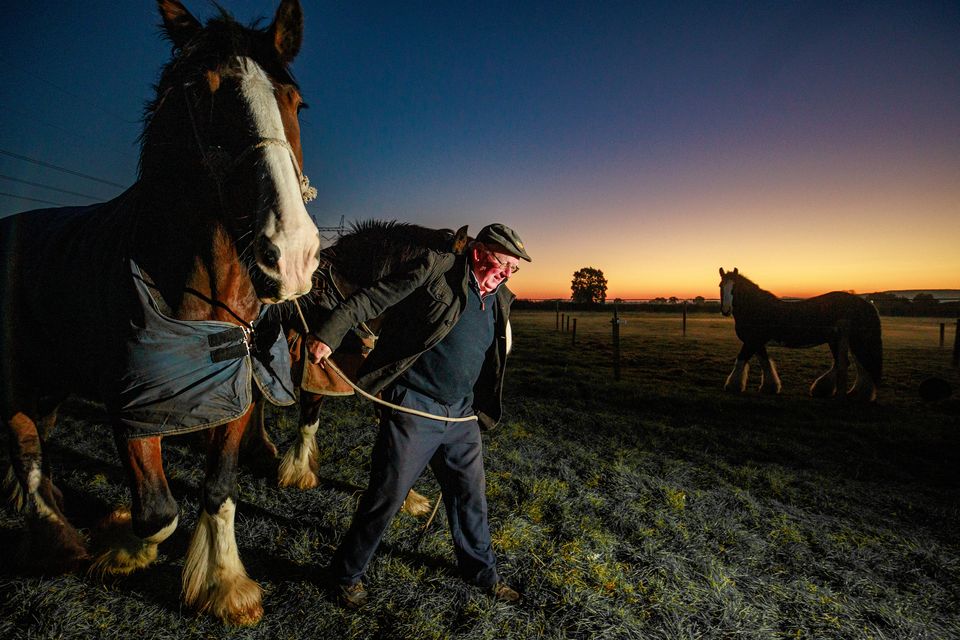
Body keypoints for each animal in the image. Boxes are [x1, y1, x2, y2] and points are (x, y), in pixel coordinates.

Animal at [0, 0, 322, 624]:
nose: (291, 253)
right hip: (18, 378)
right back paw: (55, 537)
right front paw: (120, 542)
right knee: (26, 448)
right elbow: (157, 513)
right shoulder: (135, 407)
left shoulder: (233, 394)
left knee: (36, 441)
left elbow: (218, 489)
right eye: (202, 92)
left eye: (296, 103)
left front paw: (224, 584)